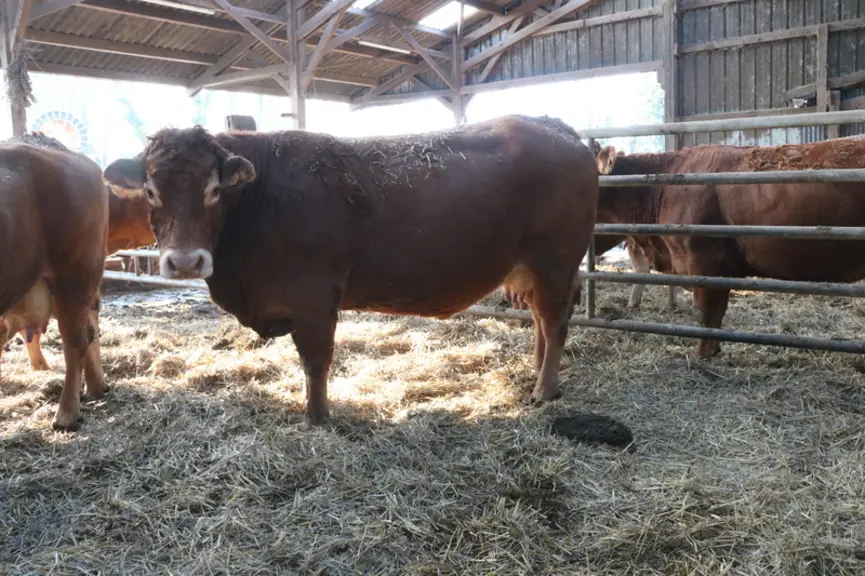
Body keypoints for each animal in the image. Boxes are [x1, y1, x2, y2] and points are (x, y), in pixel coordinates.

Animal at [102, 115, 599, 425]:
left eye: (213, 190)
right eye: (150, 191)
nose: (185, 260)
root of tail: (554, 127)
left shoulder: (313, 296)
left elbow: (316, 361)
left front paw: (317, 418)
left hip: (554, 261)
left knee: (554, 322)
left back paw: (543, 389)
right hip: (531, 269)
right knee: (541, 321)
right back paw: (534, 373)